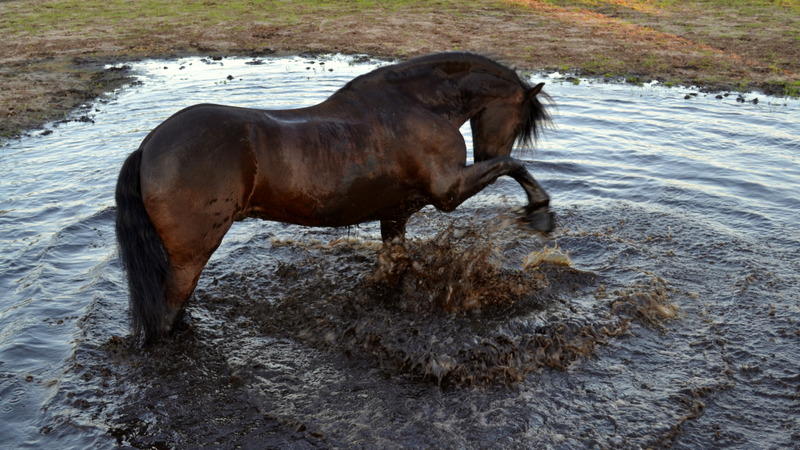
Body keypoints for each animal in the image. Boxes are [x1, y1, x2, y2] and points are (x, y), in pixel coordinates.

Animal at [115, 52, 552, 344]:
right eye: (520, 119)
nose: (487, 152)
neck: (415, 106)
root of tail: (149, 146)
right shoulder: (450, 191)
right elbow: (514, 166)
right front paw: (540, 210)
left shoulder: (395, 214)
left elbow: (395, 263)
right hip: (190, 256)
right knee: (167, 315)